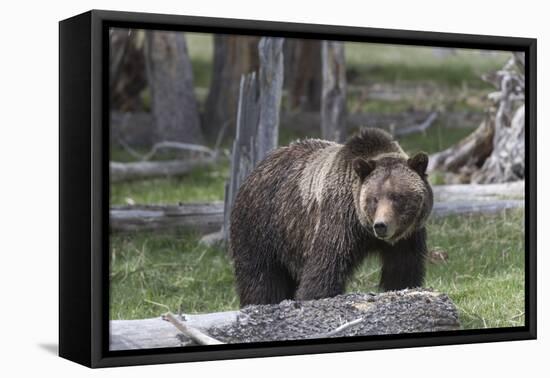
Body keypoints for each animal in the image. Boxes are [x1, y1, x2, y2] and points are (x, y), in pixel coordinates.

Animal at [230, 128, 436, 306]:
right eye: (374, 199)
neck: (364, 230)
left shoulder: (408, 238)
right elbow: (325, 268)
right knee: (260, 276)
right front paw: (315, 295)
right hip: (262, 225)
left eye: (397, 197)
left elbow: (403, 271)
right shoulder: (339, 220)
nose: (381, 225)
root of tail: (256, 169)